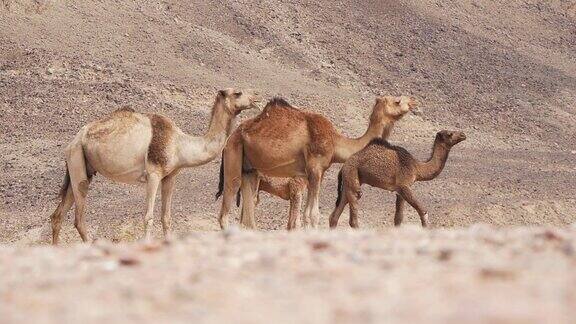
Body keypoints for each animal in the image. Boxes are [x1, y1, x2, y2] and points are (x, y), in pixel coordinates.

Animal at [49, 87, 260, 244]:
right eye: (238, 93)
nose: (256, 98)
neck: (179, 144)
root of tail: (75, 139)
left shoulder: (170, 176)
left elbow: (166, 217)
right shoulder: (153, 173)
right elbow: (148, 217)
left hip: (81, 165)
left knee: (58, 214)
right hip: (77, 157)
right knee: (78, 218)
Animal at [216, 95, 418, 229]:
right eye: (397, 101)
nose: (413, 103)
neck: (336, 142)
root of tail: (231, 138)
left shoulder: (313, 173)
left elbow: (306, 213)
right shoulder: (315, 168)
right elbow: (312, 214)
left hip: (250, 169)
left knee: (248, 215)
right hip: (233, 155)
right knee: (227, 203)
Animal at [328, 129, 468, 228]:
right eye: (450, 134)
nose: (463, 135)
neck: (416, 167)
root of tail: (343, 166)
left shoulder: (400, 191)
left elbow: (398, 219)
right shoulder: (404, 185)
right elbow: (423, 211)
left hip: (349, 180)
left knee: (335, 215)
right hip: (353, 174)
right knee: (353, 215)